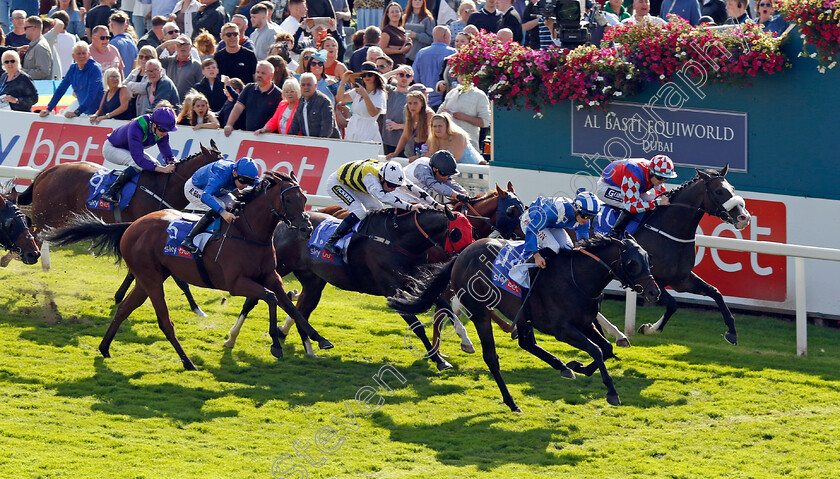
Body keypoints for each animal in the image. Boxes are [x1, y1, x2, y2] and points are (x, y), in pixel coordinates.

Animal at [44, 172, 330, 372]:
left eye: (305, 199)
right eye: (289, 199)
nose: (306, 228)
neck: (248, 233)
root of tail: (132, 225)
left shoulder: (272, 276)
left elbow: (290, 305)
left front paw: (319, 339)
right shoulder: (236, 283)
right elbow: (270, 298)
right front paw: (276, 345)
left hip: (148, 279)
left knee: (124, 308)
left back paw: (104, 348)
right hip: (151, 279)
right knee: (164, 321)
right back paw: (188, 361)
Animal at [226, 209, 456, 372]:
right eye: (456, 232)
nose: (460, 258)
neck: (399, 240)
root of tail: (284, 223)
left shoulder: (418, 285)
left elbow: (445, 308)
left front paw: (452, 348)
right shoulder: (393, 290)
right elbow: (417, 326)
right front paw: (438, 359)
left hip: (313, 282)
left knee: (300, 310)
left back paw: (311, 349)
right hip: (276, 269)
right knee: (254, 300)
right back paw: (232, 338)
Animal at [390, 236, 660, 412]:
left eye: (648, 258)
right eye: (633, 262)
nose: (654, 291)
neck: (577, 279)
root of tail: (460, 255)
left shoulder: (585, 324)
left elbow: (606, 349)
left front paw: (578, 366)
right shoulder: (562, 330)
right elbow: (595, 350)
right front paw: (611, 392)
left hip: (520, 315)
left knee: (526, 342)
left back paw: (562, 366)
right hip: (480, 312)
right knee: (492, 357)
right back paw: (511, 402)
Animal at [620, 166, 752, 344]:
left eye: (732, 188)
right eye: (718, 191)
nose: (744, 217)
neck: (667, 231)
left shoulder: (681, 280)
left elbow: (715, 292)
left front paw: (732, 331)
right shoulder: (645, 279)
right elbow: (672, 303)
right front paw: (650, 328)